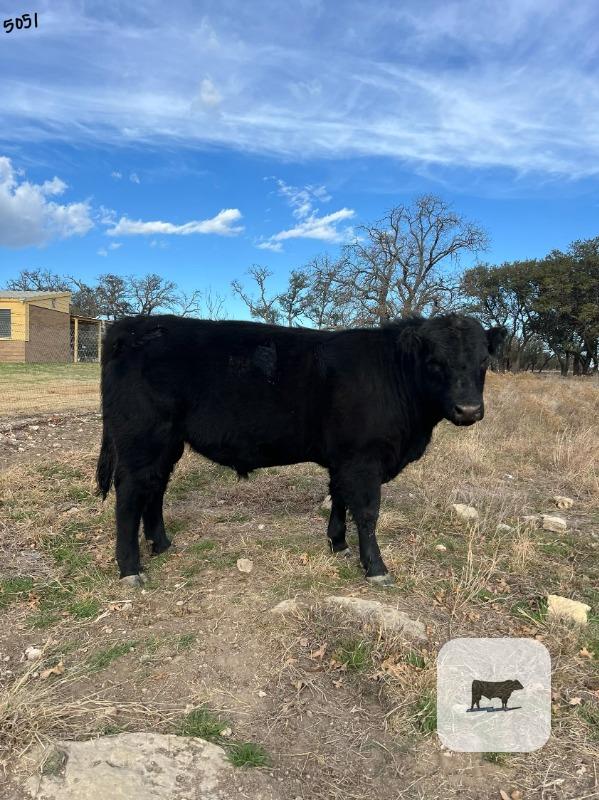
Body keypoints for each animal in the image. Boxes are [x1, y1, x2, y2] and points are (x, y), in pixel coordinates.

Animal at [96, 313, 506, 586]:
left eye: (484, 361)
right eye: (435, 362)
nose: (469, 410)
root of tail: (130, 325)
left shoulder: (344, 458)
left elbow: (339, 498)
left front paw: (338, 543)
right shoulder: (364, 458)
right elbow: (367, 511)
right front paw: (376, 568)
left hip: (167, 444)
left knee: (155, 488)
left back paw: (161, 544)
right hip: (141, 439)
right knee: (130, 494)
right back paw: (130, 568)